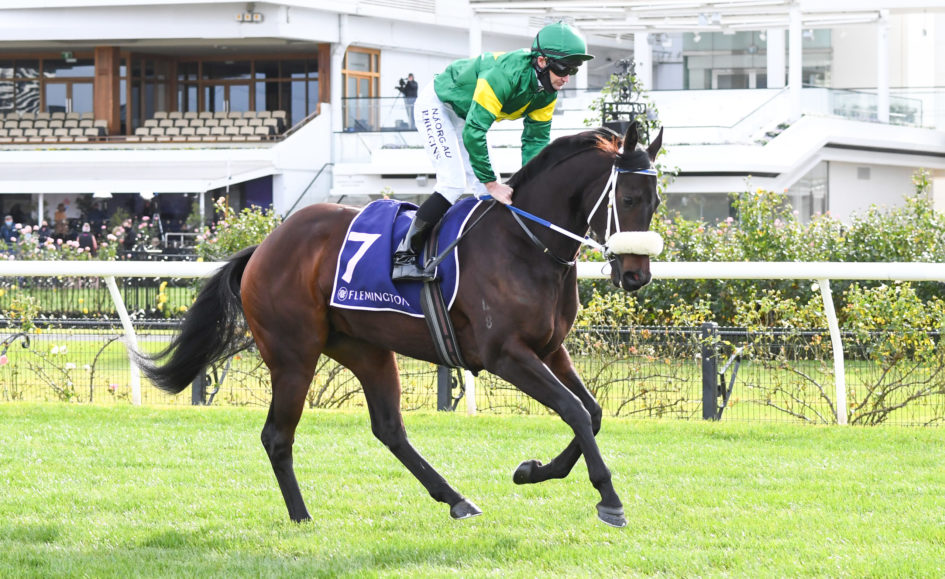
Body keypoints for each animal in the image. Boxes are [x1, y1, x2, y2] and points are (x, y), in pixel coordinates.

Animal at [140, 121, 664, 528]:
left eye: (656, 202)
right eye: (629, 197)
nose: (636, 275)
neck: (525, 242)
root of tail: (264, 246)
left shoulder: (550, 348)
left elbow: (591, 412)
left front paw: (532, 470)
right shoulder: (506, 354)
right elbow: (573, 410)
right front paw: (609, 499)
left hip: (365, 348)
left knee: (389, 428)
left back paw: (456, 499)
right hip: (293, 355)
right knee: (277, 436)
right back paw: (301, 515)